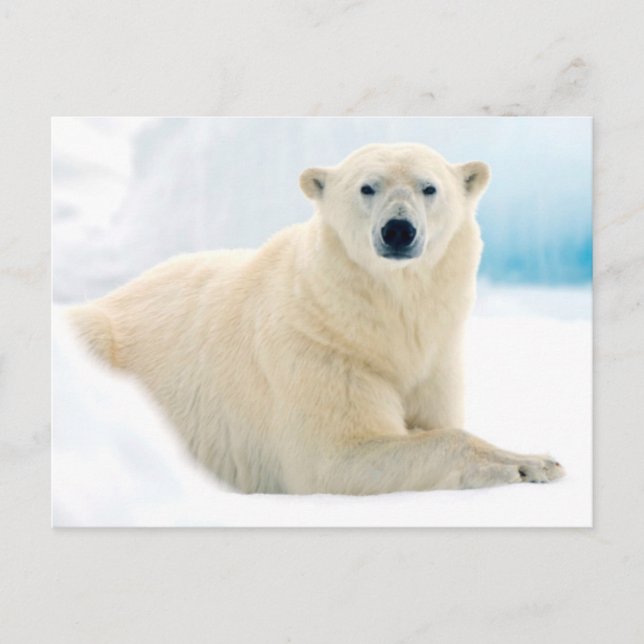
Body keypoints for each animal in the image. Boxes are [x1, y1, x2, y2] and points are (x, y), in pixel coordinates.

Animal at [67, 142, 564, 494]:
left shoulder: (436, 359)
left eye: (429, 187)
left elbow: (437, 418)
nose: (398, 230)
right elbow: (336, 455)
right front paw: (529, 464)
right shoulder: (316, 350)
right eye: (367, 187)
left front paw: (540, 459)